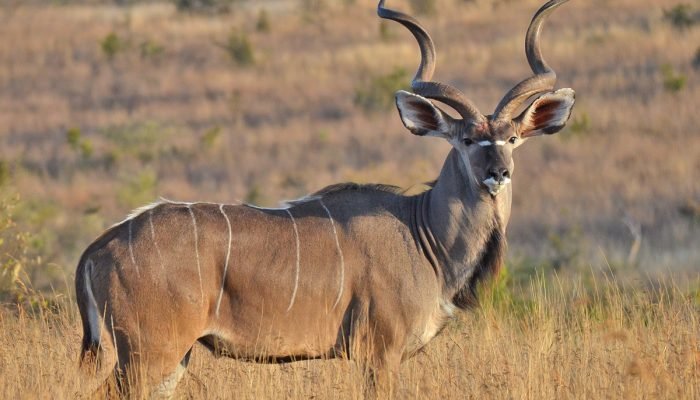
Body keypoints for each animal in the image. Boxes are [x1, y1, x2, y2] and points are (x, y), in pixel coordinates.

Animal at [76, 0, 576, 396]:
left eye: (512, 138)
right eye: (468, 140)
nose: (498, 173)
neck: (423, 235)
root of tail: (97, 249)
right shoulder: (379, 353)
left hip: (170, 360)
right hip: (149, 353)